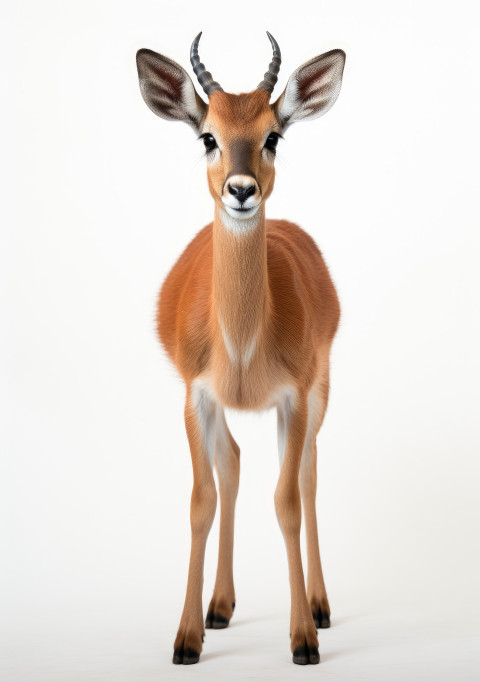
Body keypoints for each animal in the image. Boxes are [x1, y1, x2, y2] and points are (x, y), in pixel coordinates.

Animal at [135, 31, 344, 664]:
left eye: (273, 134)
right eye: (209, 135)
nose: (242, 190)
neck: (246, 344)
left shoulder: (294, 399)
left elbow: (288, 502)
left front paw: (302, 640)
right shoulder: (196, 396)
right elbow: (202, 500)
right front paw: (186, 638)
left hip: (320, 393)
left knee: (306, 474)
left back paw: (320, 608)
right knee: (230, 463)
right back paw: (220, 608)